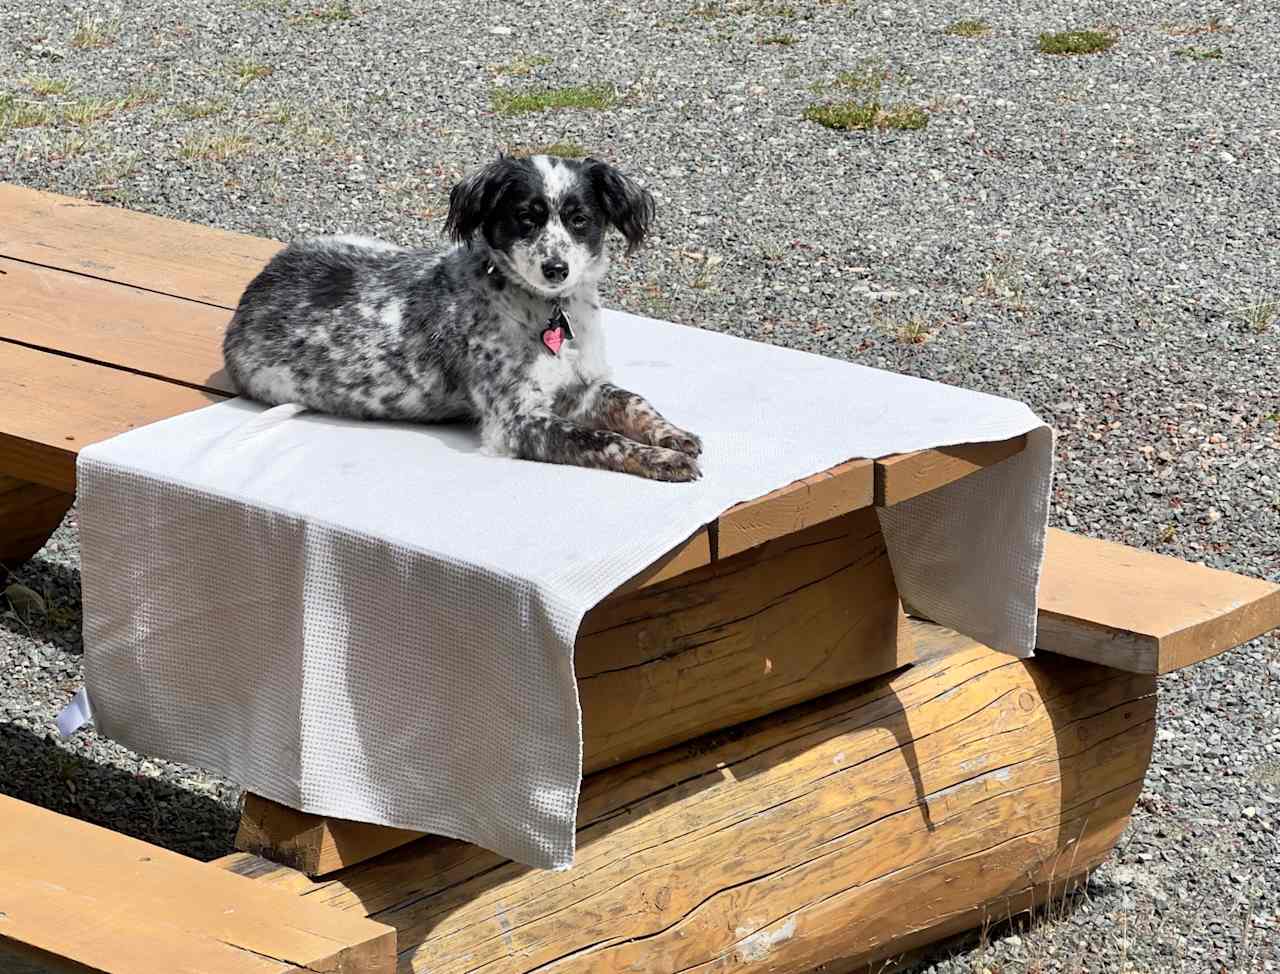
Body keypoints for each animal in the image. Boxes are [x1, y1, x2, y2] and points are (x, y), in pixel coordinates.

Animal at [220, 152, 701, 483]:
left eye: (579, 219)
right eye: (525, 218)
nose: (556, 269)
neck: (547, 313)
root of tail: (252, 291)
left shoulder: (582, 389)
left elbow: (634, 400)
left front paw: (672, 435)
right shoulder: (516, 421)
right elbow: (603, 439)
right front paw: (664, 459)